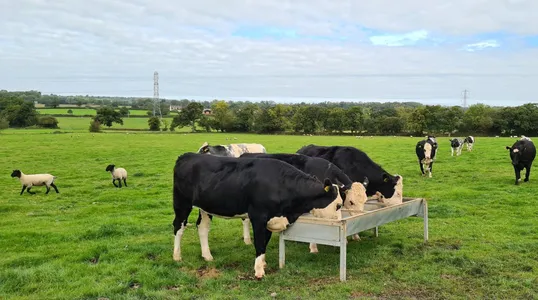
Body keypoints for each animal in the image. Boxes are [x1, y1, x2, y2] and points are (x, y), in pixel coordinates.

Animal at [172, 154, 342, 280]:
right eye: (338, 205)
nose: (341, 222)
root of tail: (187, 155)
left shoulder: (270, 219)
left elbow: (265, 242)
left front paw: (263, 263)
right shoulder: (258, 216)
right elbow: (259, 243)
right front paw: (259, 272)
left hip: (205, 207)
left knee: (202, 228)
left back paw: (207, 256)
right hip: (182, 203)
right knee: (178, 226)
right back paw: (177, 256)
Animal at [239, 152, 368, 251]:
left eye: (365, 200)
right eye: (351, 202)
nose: (362, 217)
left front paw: (353, 237)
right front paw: (313, 247)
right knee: (245, 220)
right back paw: (247, 240)